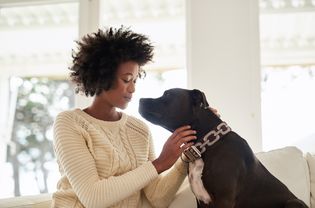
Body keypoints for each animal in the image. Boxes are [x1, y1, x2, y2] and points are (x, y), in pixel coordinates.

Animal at [139, 88, 308, 208]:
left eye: (167, 95)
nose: (140, 99)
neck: (205, 146)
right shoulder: (201, 202)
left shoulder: (224, 200)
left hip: (294, 203)